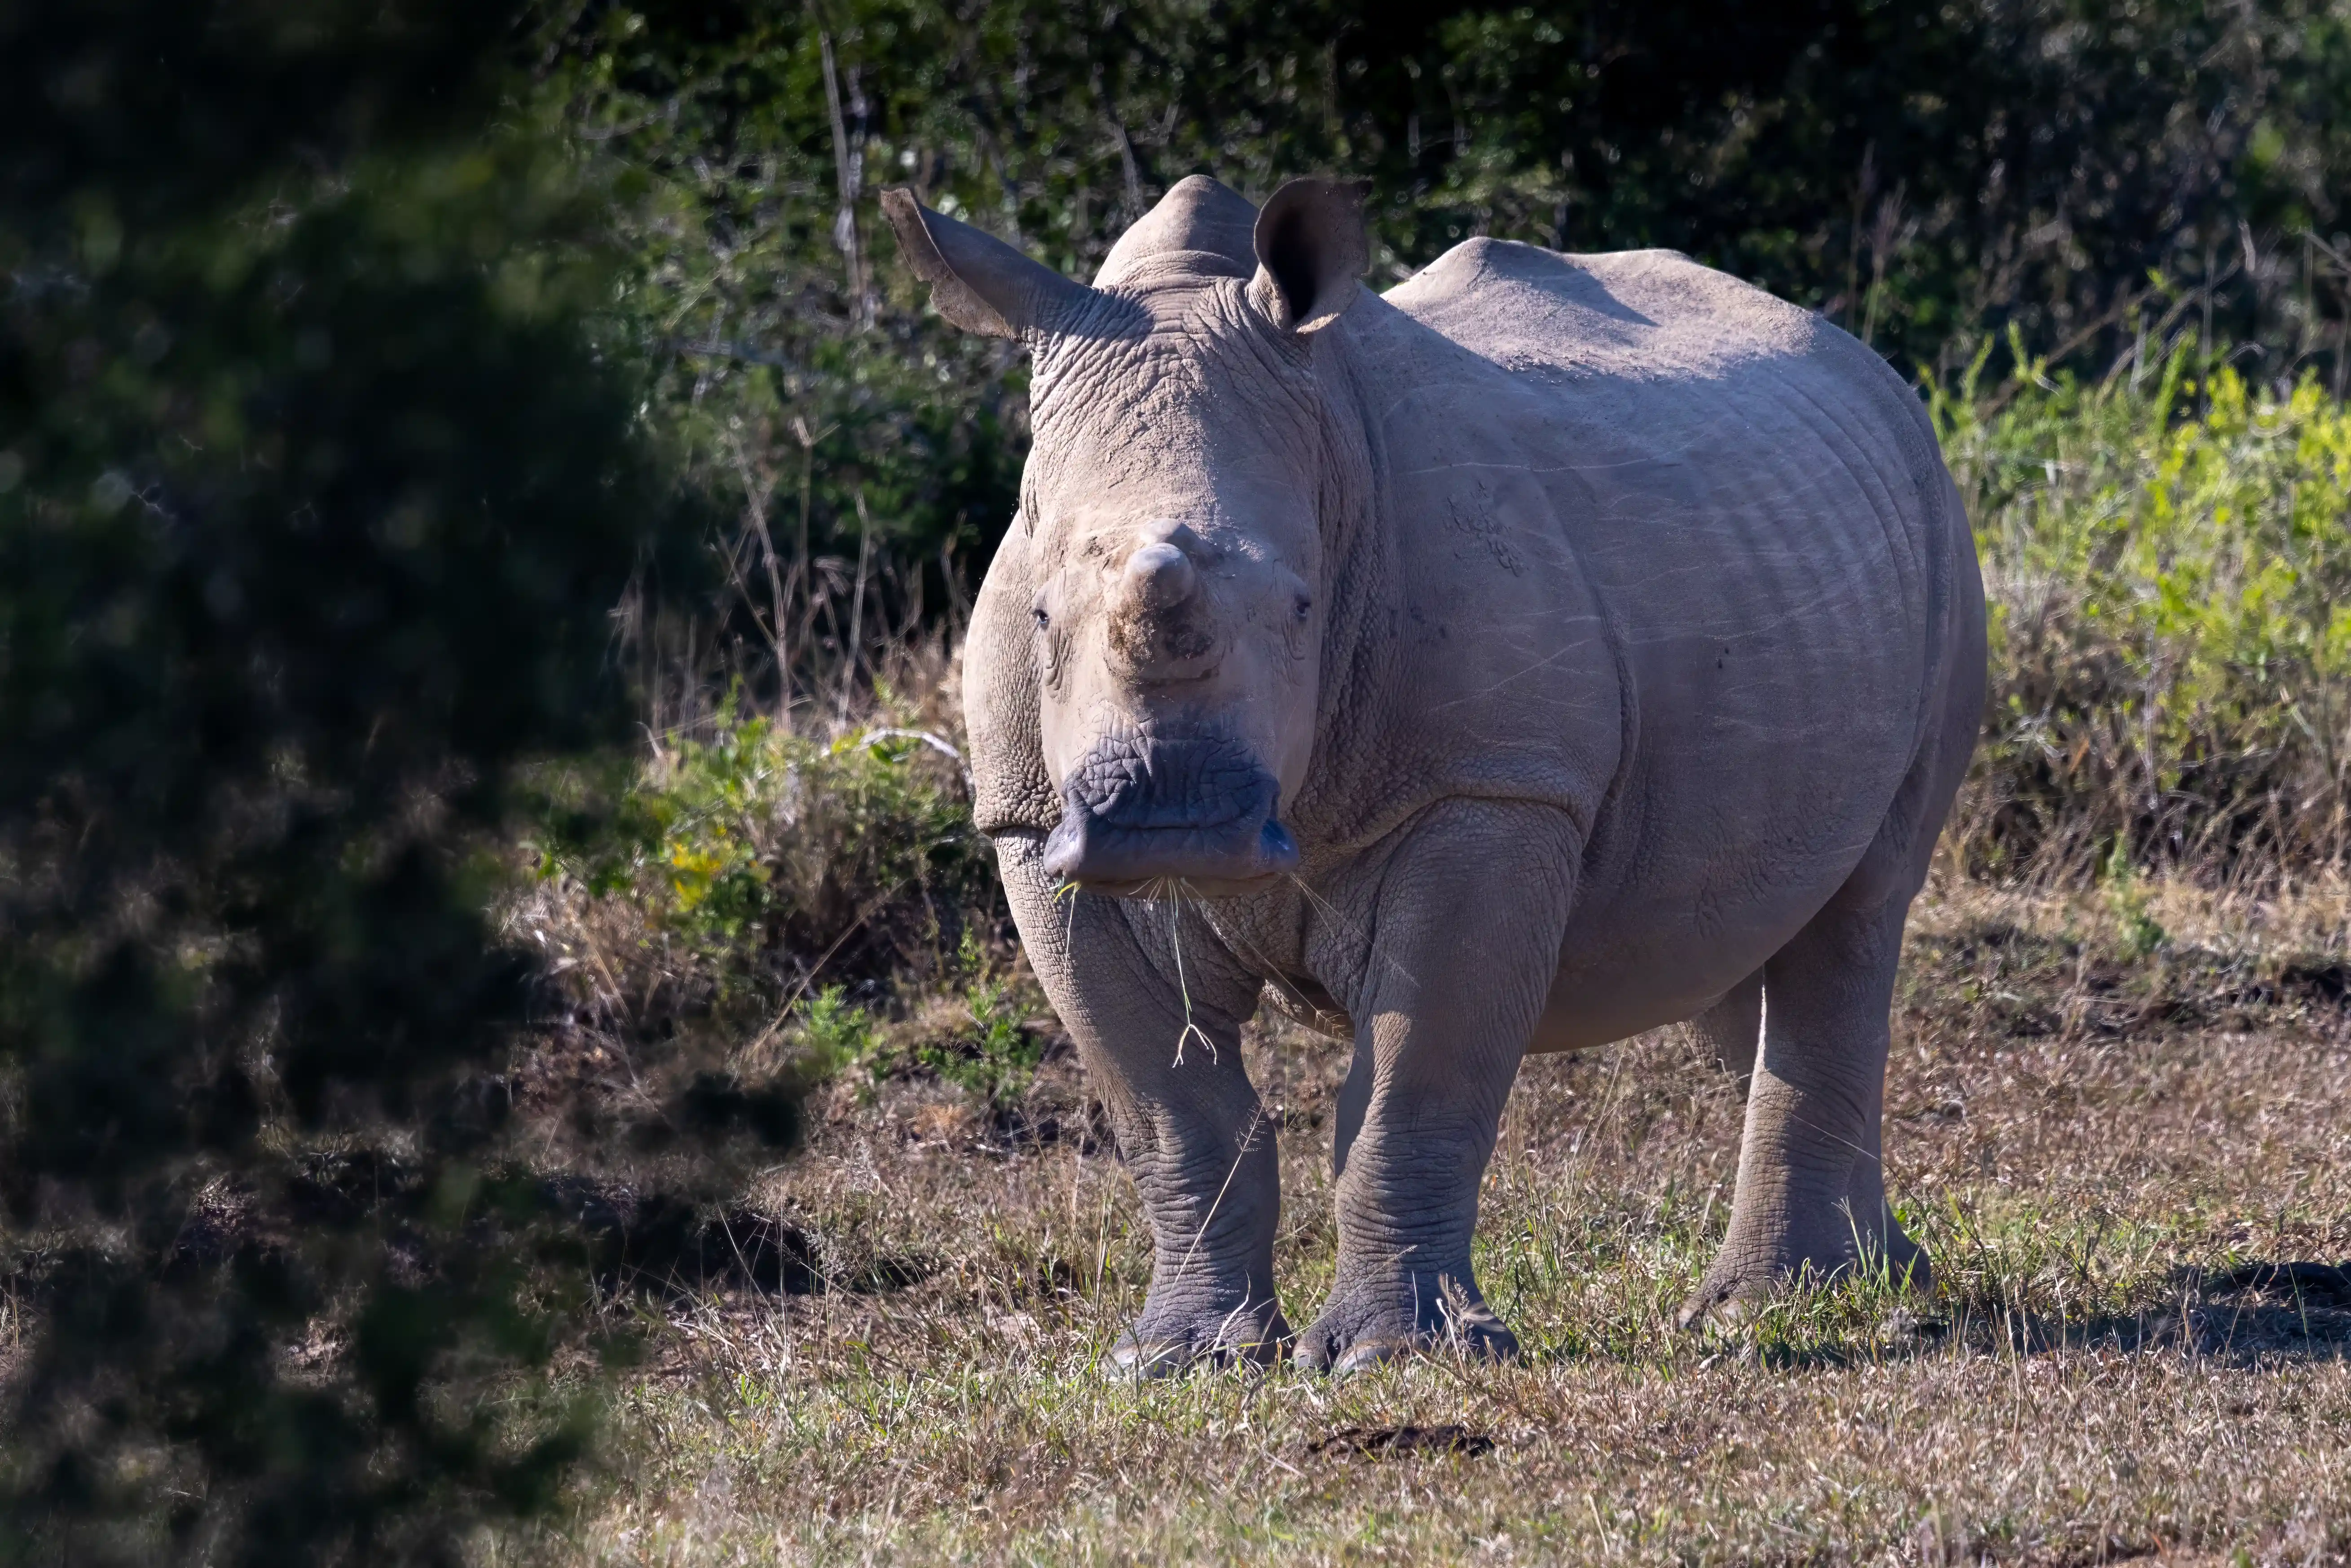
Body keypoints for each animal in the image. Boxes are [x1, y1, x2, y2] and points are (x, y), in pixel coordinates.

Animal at [879, 174, 1985, 1375]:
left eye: (1303, 608)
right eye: (1039, 614)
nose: (1171, 824)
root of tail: (1864, 362)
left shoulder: (1490, 785)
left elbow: (1414, 1084)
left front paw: (1395, 1357)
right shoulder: (1031, 822)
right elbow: (1170, 1110)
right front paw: (1180, 1359)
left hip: (1938, 530)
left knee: (1858, 905)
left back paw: (1774, 1306)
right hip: (1779, 538)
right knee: (1737, 932)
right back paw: (1876, 1277)